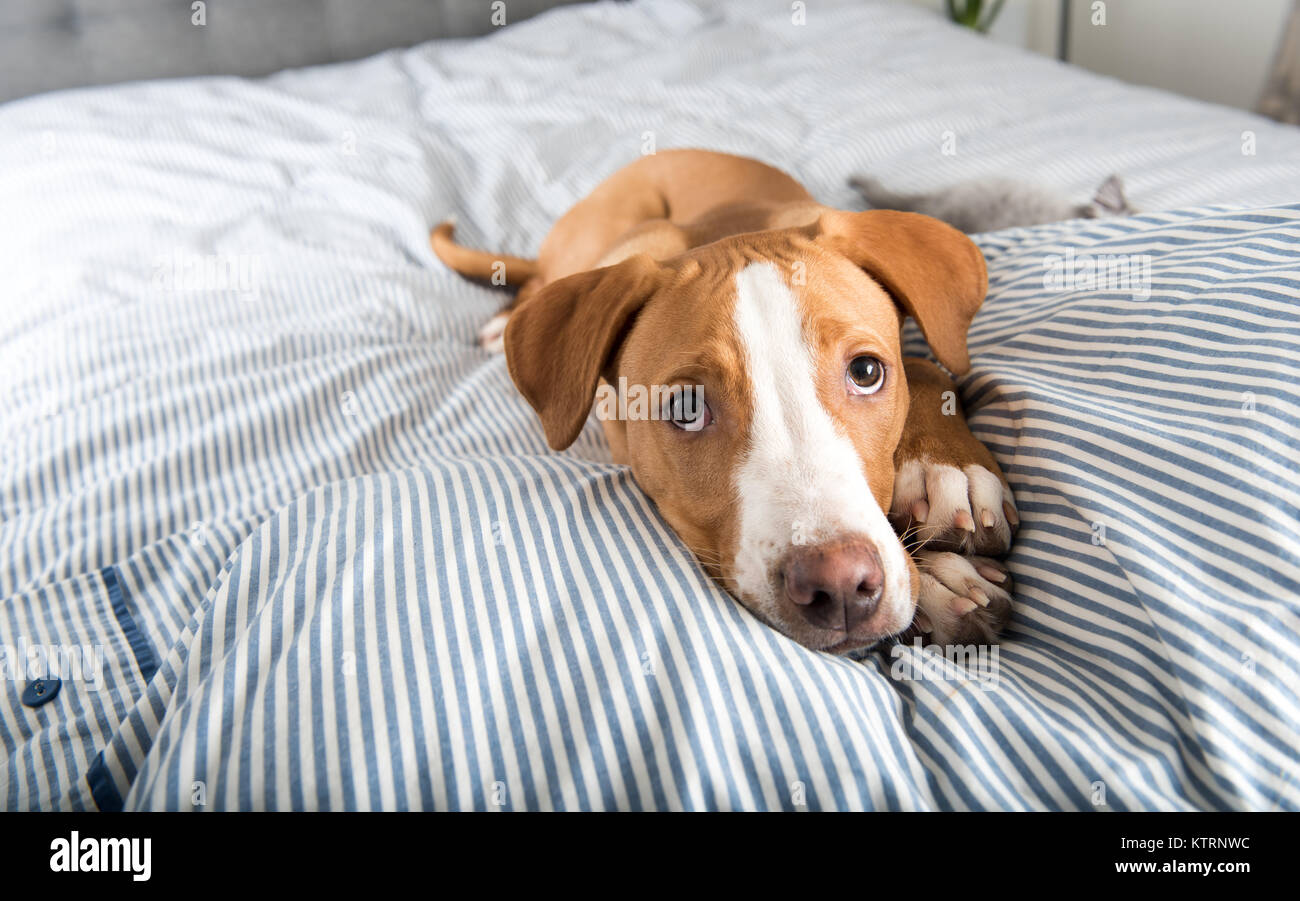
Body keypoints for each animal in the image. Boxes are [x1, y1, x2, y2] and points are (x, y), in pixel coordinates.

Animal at [434, 149, 1013, 652]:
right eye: (687, 409)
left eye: (867, 372)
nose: (841, 585)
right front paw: (939, 581)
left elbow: (929, 366)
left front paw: (946, 470)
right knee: (535, 279)